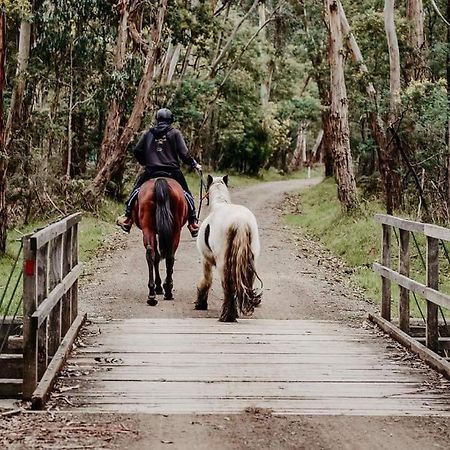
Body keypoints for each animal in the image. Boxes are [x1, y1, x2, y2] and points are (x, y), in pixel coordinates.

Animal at [195, 174, 262, 322]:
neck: (219, 204)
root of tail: (240, 222)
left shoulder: (205, 259)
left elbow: (207, 280)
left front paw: (200, 303)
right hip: (250, 261)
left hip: (223, 262)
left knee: (228, 286)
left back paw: (227, 316)